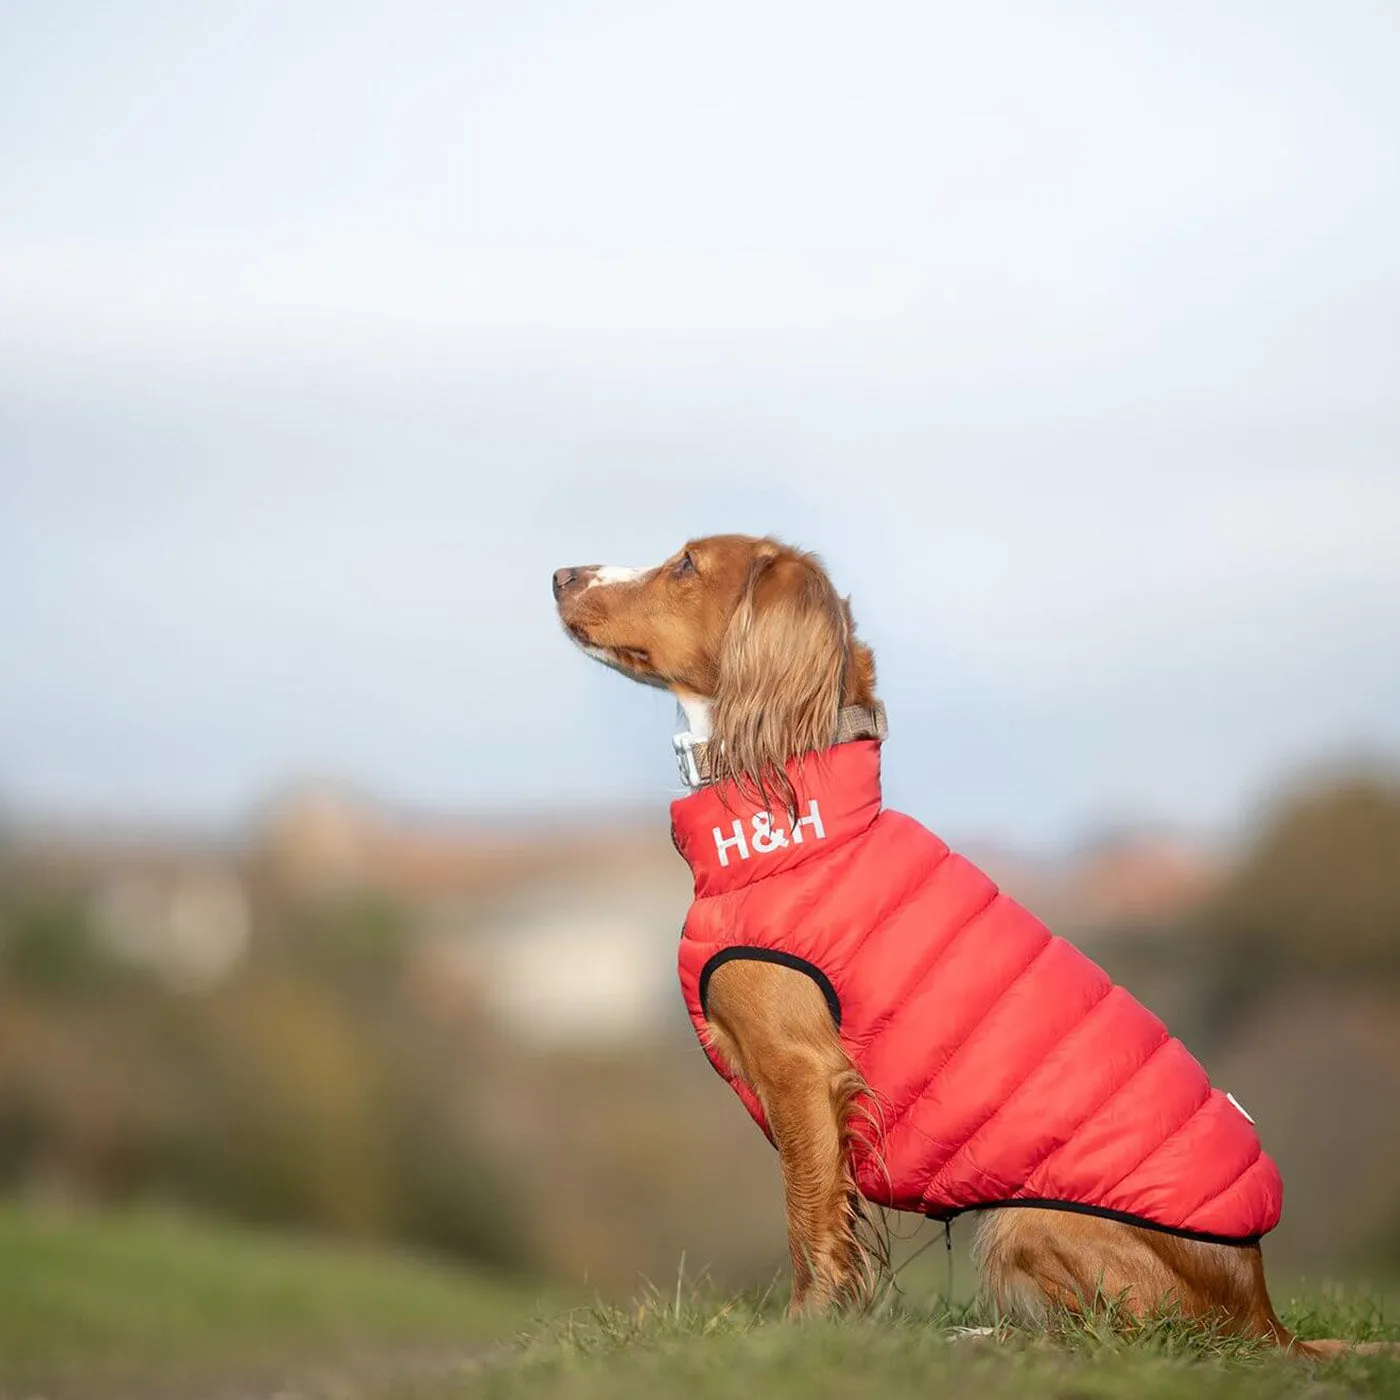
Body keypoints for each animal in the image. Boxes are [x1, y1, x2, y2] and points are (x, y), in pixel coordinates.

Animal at [551, 534, 1383, 1355]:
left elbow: (808, 1223)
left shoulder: (802, 1073)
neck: (794, 823)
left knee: (1128, 1333)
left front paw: (803, 1332)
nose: (561, 574)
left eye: (686, 564)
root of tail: (1263, 1310)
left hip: (1025, 1219)